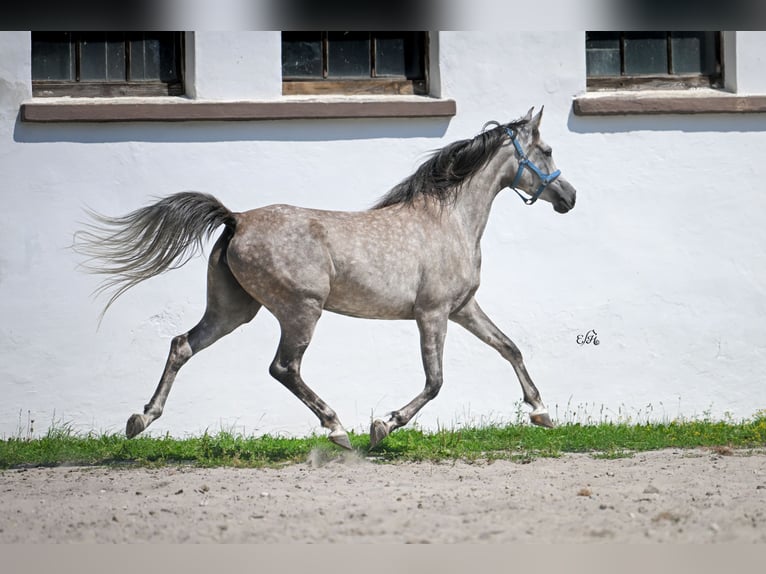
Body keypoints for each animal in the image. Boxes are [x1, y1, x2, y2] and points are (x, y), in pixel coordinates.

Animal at [76, 107, 576, 450]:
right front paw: (383, 425)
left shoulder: (463, 308)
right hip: (301, 310)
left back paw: (141, 419)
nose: (569, 196)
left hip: (233, 310)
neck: (448, 220)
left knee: (182, 345)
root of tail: (237, 218)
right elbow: (435, 381)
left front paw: (541, 412)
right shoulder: (432, 314)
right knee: (284, 367)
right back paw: (337, 429)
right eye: (548, 150)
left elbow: (509, 347)